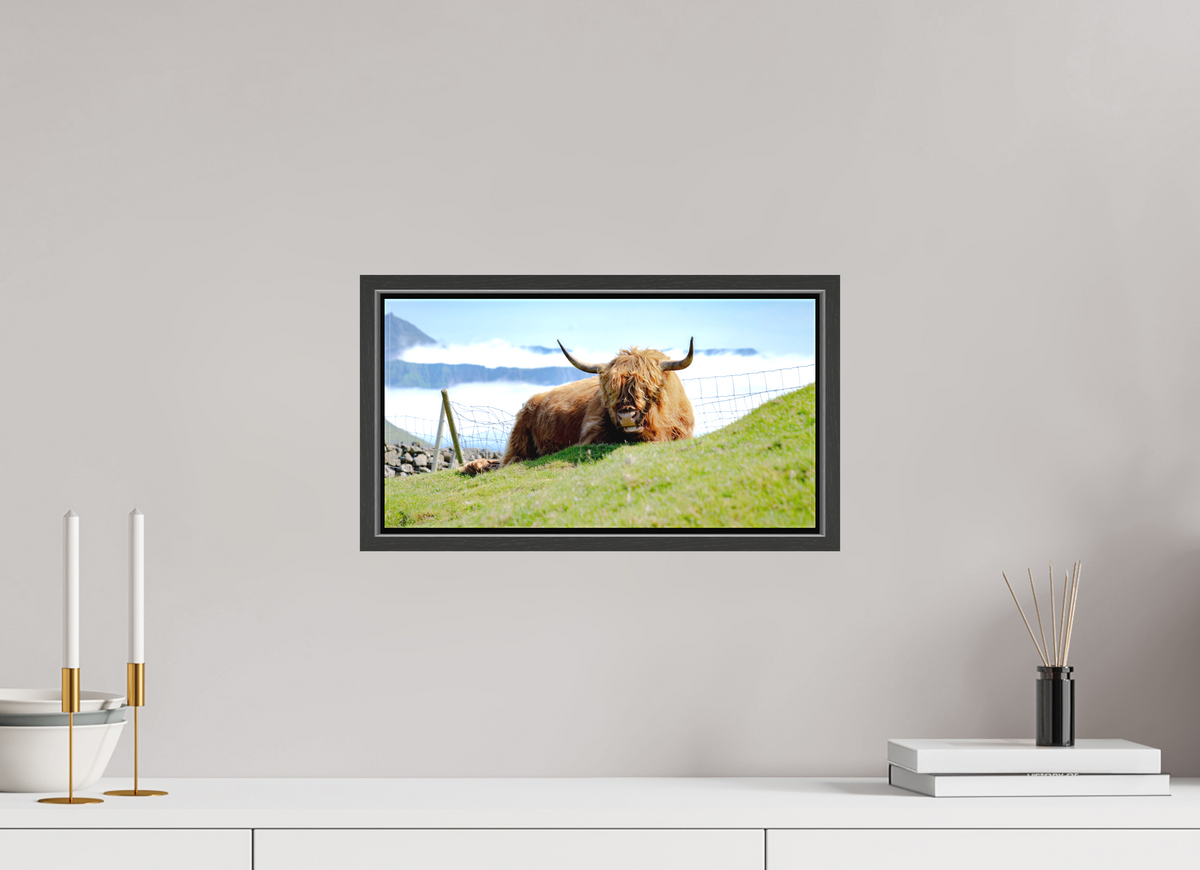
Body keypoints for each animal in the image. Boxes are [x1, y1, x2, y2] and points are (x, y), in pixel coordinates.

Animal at [457, 339, 696, 475]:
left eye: (648, 388)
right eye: (610, 391)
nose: (627, 415)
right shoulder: (591, 435)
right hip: (518, 440)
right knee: (509, 460)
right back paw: (471, 466)